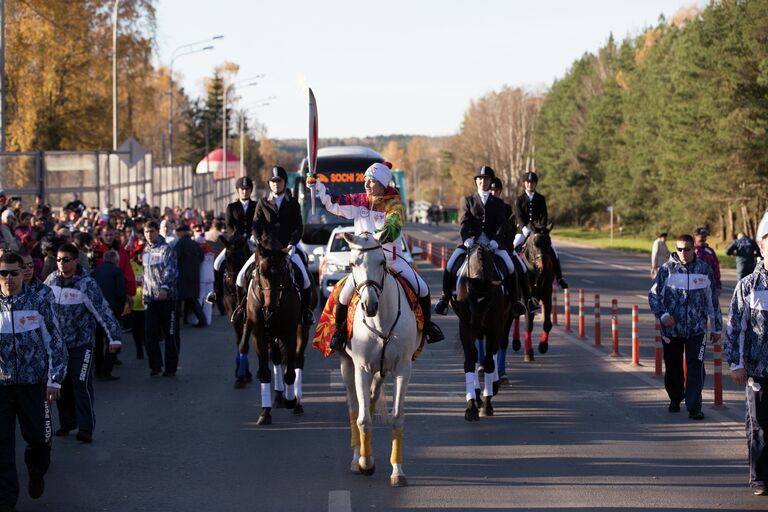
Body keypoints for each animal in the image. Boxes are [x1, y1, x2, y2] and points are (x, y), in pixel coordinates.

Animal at [248, 242, 304, 426]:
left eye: (281, 273)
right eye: (261, 271)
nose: (270, 307)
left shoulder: (290, 333)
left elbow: (291, 372)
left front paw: (290, 400)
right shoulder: (258, 335)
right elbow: (266, 372)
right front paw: (265, 413)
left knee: (298, 360)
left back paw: (295, 402)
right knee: (277, 358)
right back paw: (279, 397)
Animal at [340, 233, 420, 488]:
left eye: (382, 262)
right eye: (352, 263)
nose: (369, 305)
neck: (380, 321)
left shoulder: (403, 368)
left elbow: (397, 418)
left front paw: (397, 471)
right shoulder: (362, 368)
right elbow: (363, 419)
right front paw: (365, 464)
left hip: (381, 371)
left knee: (373, 399)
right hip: (347, 366)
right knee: (354, 408)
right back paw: (357, 458)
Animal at [452, 242, 508, 422]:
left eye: (489, 300)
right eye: (468, 297)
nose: (477, 325)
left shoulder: (495, 327)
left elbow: (490, 362)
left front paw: (487, 404)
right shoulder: (465, 327)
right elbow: (470, 361)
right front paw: (471, 407)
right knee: (475, 356)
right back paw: (476, 394)